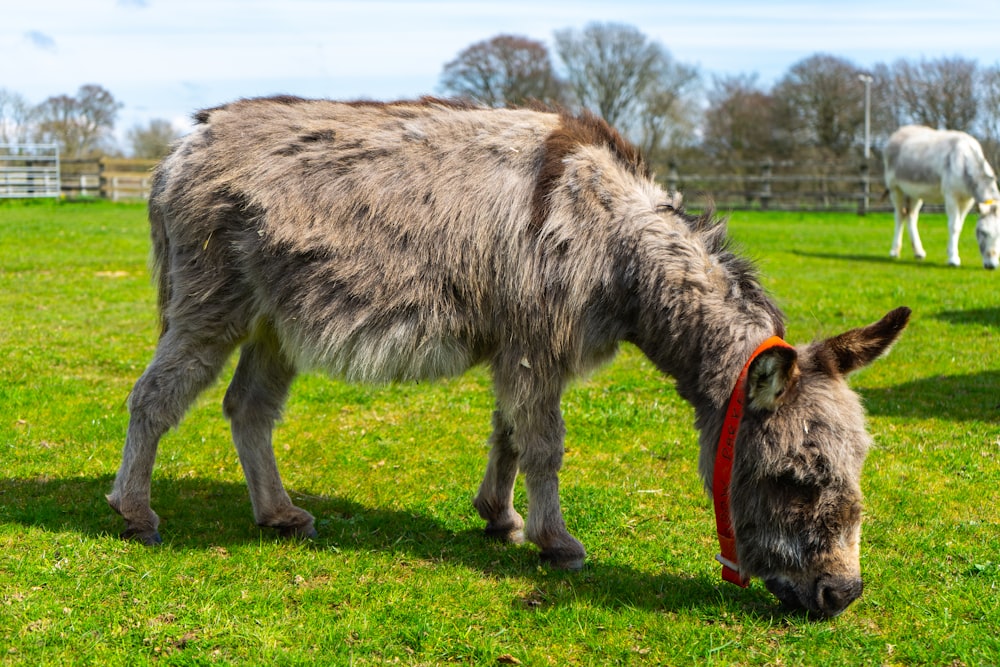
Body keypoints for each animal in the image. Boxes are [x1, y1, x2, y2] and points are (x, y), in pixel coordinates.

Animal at [888, 124, 996, 270]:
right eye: (983, 232)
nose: (992, 265)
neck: (964, 161)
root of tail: (900, 131)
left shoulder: (967, 200)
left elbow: (959, 226)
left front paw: (951, 252)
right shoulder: (951, 196)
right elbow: (954, 226)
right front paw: (953, 259)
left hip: (915, 193)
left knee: (910, 215)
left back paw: (919, 252)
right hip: (895, 188)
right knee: (899, 215)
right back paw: (894, 251)